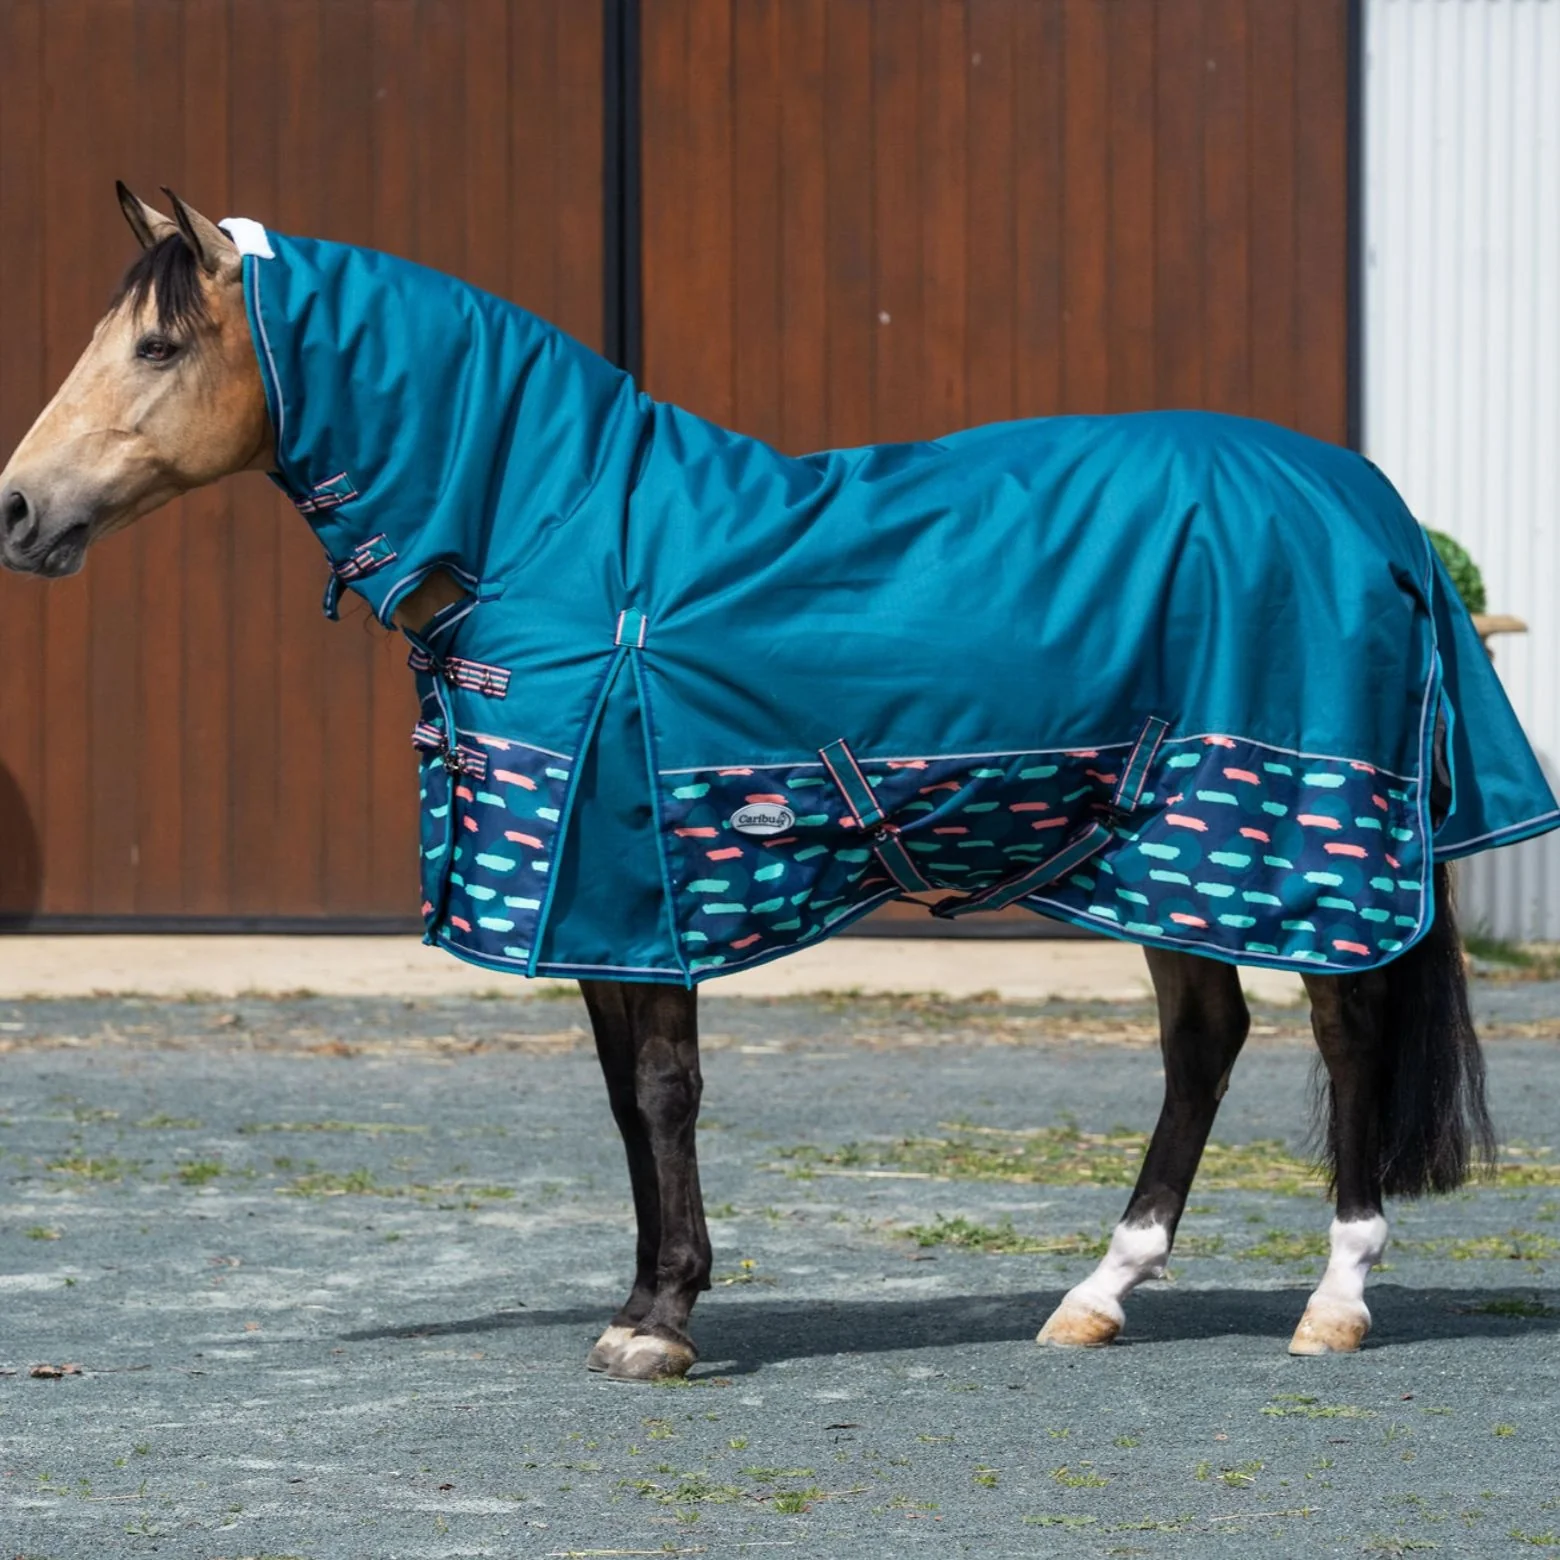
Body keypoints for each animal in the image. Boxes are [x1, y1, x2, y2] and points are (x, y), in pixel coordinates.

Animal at [1, 186, 1550, 1382]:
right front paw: (645, 1302)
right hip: (1156, 860)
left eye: (155, 345)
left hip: (1299, 853)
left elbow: (666, 1091)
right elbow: (625, 1101)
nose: (18, 510)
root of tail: (1367, 503)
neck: (561, 534)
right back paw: (1095, 1298)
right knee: (1205, 1042)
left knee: (1342, 1036)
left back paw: (1335, 1301)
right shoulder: (603, 914)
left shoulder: (639, 881)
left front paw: (662, 1323)